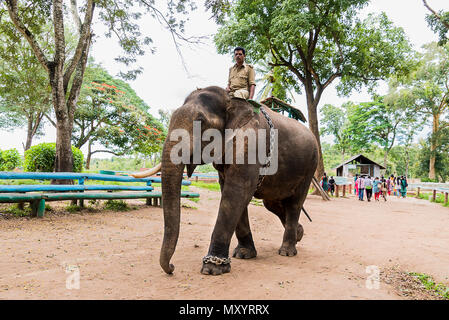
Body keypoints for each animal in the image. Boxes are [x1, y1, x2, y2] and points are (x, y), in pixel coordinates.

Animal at [135, 85, 316, 276]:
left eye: (201, 122)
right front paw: (244, 254)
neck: (230, 100)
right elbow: (232, 193)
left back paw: (287, 251)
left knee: (294, 203)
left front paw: (213, 268)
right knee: (273, 203)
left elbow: (237, 192)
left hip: (310, 166)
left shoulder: (252, 144)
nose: (171, 267)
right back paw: (299, 234)